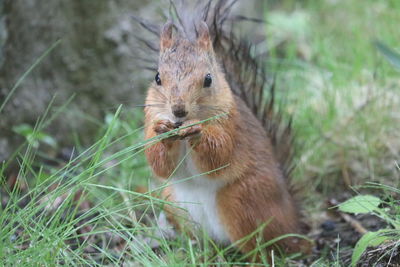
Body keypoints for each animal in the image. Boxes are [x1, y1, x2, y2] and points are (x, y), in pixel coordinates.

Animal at [139, 0, 310, 262]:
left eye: (208, 79)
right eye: (157, 78)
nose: (178, 110)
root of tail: (292, 218)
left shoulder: (231, 126)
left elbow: (219, 155)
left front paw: (197, 131)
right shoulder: (150, 119)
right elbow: (159, 164)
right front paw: (163, 133)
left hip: (243, 202)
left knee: (264, 249)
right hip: (175, 205)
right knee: (207, 242)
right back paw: (202, 255)